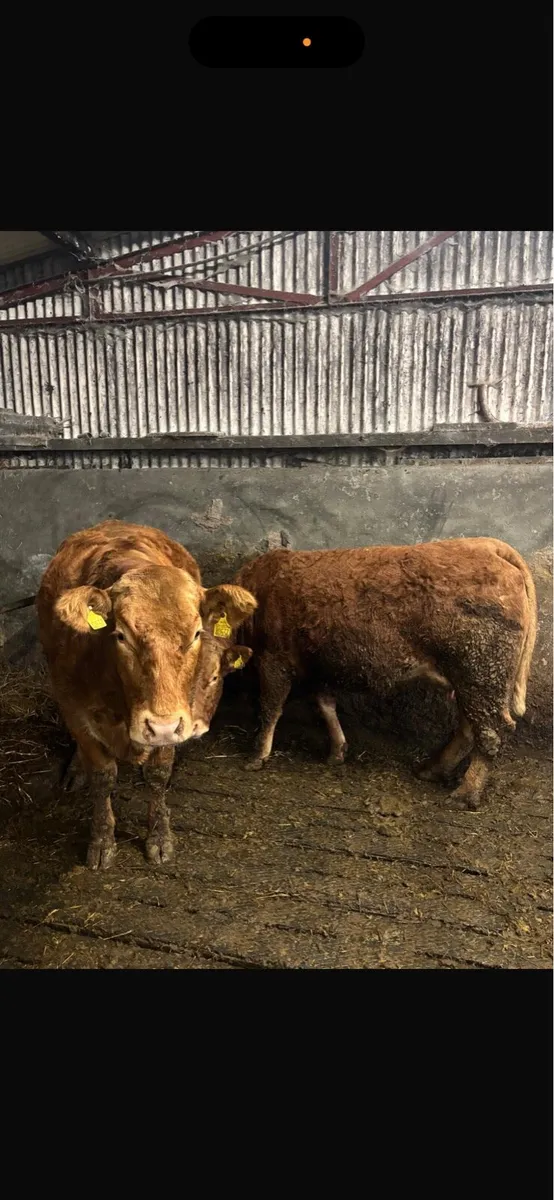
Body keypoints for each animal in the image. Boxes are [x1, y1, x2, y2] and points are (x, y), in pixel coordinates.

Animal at [37, 520, 256, 868]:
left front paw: (159, 837)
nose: (161, 727)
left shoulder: (175, 719)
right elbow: (102, 776)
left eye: (196, 633)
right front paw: (102, 841)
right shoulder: (75, 708)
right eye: (121, 635)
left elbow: (158, 774)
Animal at [234, 538, 537, 811]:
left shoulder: (273, 657)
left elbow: (270, 707)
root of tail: (488, 545)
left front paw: (256, 756)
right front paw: (337, 752)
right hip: (471, 679)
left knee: (493, 730)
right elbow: (325, 704)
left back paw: (465, 795)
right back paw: (430, 770)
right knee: (470, 727)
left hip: (480, 672)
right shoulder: (319, 663)